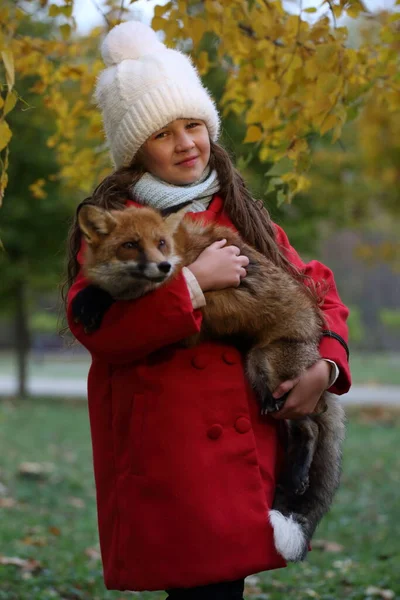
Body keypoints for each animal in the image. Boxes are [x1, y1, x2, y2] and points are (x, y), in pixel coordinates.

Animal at [72, 202, 346, 564]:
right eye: (130, 245)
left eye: (160, 243)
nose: (162, 266)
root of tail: (315, 335)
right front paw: (90, 298)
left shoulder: (179, 302)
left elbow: (132, 300)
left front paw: (94, 301)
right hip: (258, 374)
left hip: (271, 372)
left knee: (310, 429)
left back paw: (298, 476)